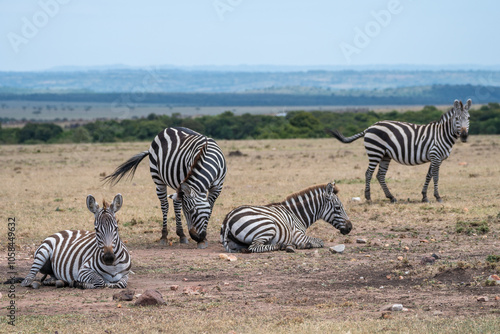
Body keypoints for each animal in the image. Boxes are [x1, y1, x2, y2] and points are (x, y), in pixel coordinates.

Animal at [219, 183, 352, 253]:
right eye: (338, 208)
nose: (350, 227)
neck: (297, 214)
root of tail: (227, 219)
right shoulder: (298, 236)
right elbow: (320, 241)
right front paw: (306, 245)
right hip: (268, 226)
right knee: (254, 247)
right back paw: (283, 246)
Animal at [326, 98, 470, 204]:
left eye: (468, 118)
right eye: (457, 119)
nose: (464, 136)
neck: (442, 134)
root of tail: (369, 127)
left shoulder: (434, 158)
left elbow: (428, 176)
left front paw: (424, 196)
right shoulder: (436, 156)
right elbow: (435, 176)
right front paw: (438, 196)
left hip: (385, 155)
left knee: (380, 175)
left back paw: (391, 197)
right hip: (375, 152)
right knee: (368, 173)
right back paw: (368, 198)